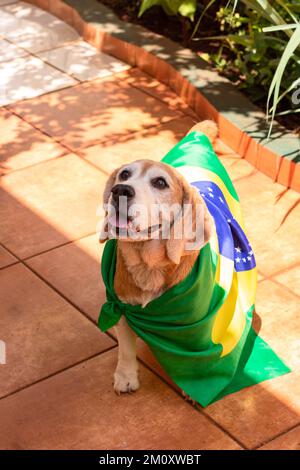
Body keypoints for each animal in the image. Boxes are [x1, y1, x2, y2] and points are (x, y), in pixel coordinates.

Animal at [99, 120, 218, 392]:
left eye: (160, 183)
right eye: (124, 174)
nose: (120, 190)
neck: (148, 265)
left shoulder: (195, 322)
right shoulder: (121, 308)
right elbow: (126, 349)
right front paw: (126, 375)